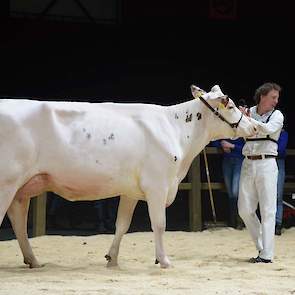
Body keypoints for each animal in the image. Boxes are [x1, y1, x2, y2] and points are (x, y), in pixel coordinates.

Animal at [0, 84, 260, 270]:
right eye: (231, 106)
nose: (255, 127)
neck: (175, 129)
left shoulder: (131, 191)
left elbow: (122, 225)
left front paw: (112, 258)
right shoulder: (157, 186)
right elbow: (159, 224)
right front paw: (164, 260)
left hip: (22, 187)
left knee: (18, 220)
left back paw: (33, 260)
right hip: (7, 182)